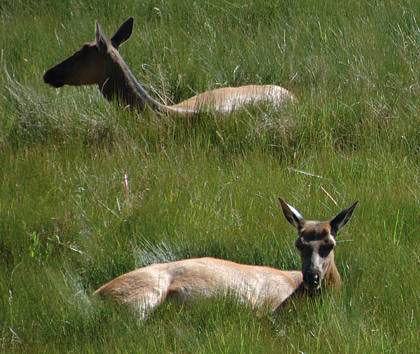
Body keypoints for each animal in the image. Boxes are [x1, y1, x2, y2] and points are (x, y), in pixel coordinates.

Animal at [93, 198, 356, 320]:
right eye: (298, 243)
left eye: (329, 244)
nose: (312, 277)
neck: (294, 290)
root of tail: (97, 293)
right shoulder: (268, 307)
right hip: (143, 298)